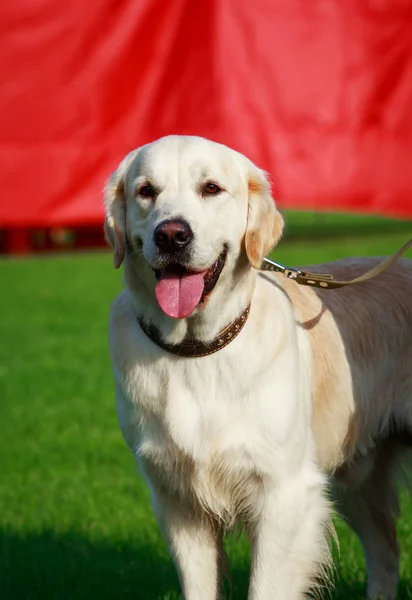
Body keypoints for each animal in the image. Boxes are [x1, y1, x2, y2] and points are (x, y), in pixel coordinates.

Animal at [104, 136, 410, 600]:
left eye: (211, 188)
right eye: (146, 191)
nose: (172, 234)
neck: (197, 350)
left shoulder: (284, 494)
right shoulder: (179, 502)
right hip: (356, 474)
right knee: (386, 553)